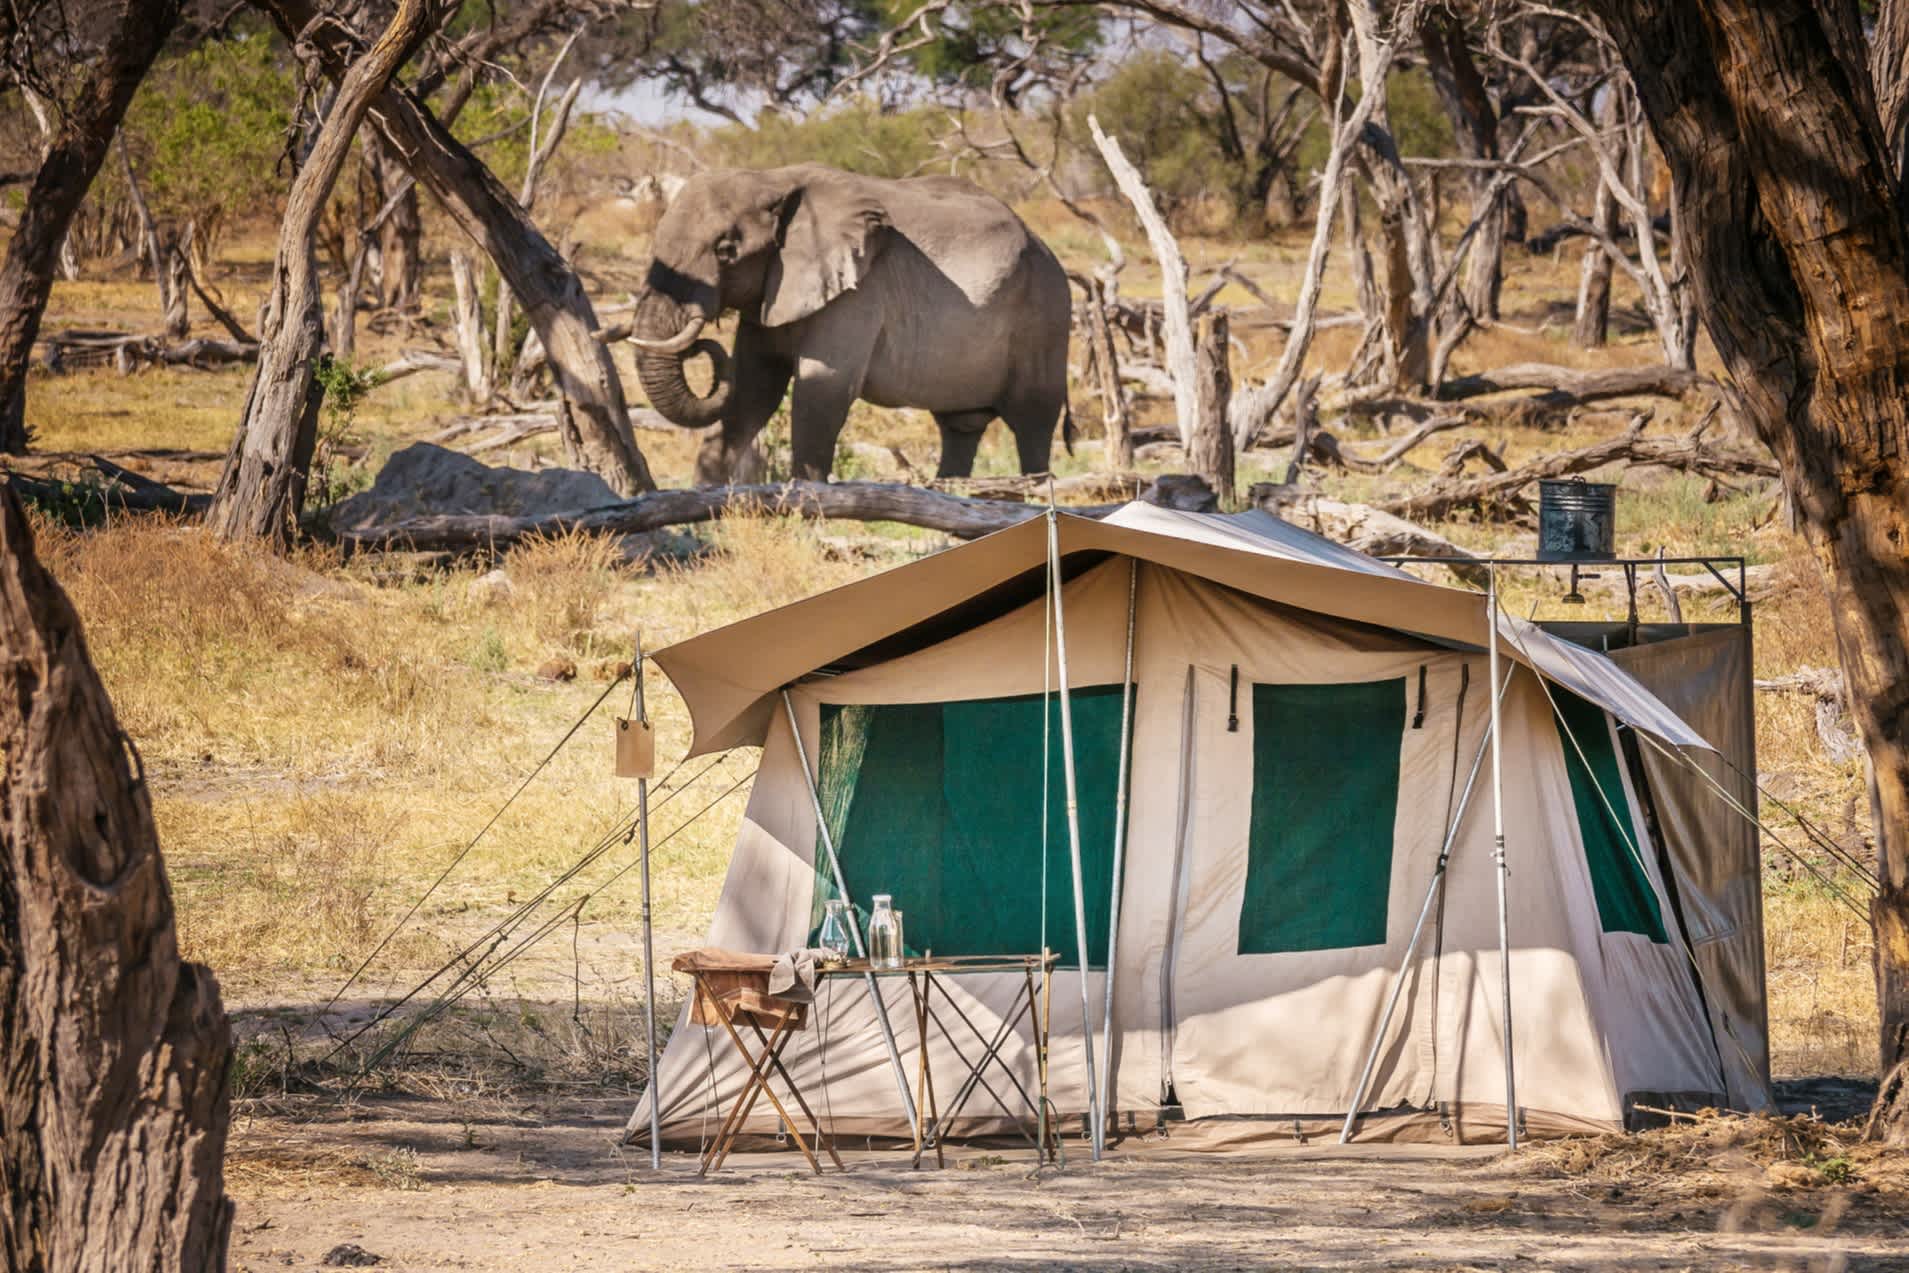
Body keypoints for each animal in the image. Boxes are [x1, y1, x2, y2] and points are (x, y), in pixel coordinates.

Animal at [626, 164, 1076, 482]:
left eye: (726, 250)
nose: (698, 343)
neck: (772, 178)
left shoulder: (858, 294)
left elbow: (821, 390)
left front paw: (806, 511)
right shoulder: (772, 295)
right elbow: (753, 388)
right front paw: (705, 513)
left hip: (1045, 315)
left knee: (1033, 422)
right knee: (961, 426)